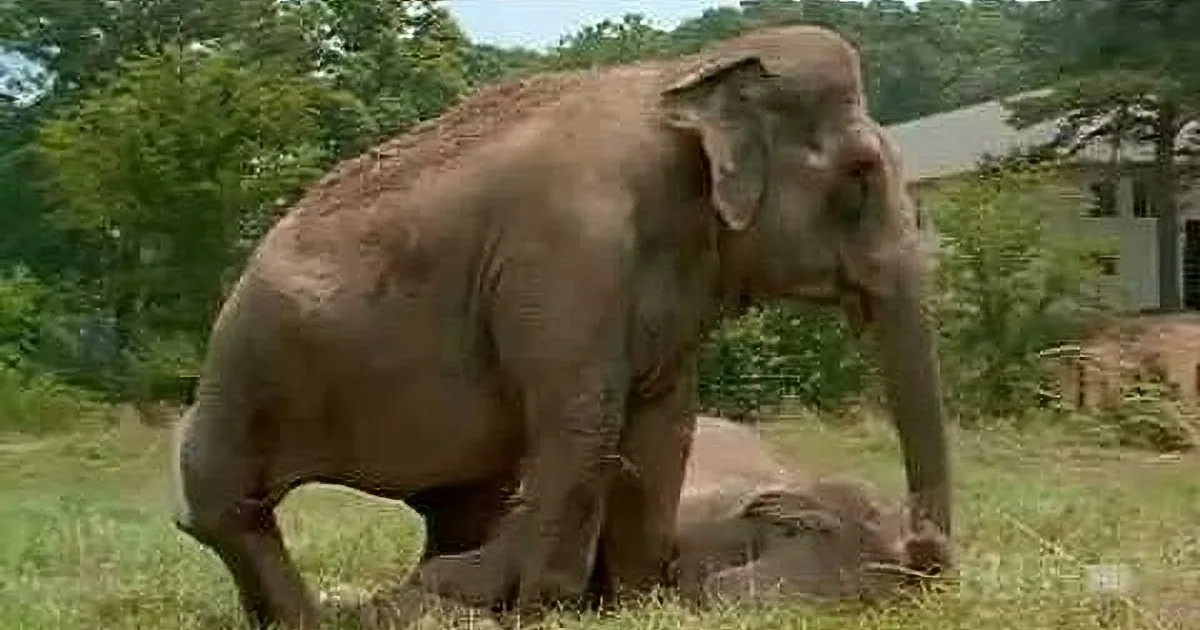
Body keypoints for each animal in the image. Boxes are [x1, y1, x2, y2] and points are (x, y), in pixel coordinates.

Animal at [170, 22, 952, 630]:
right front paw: (550, 613)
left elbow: (665, 421)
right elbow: (581, 420)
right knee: (226, 506)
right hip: (247, 362)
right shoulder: (567, 251)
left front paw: (636, 605)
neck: (686, 76)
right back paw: (312, 614)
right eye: (859, 176)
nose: (916, 546)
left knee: (462, 502)